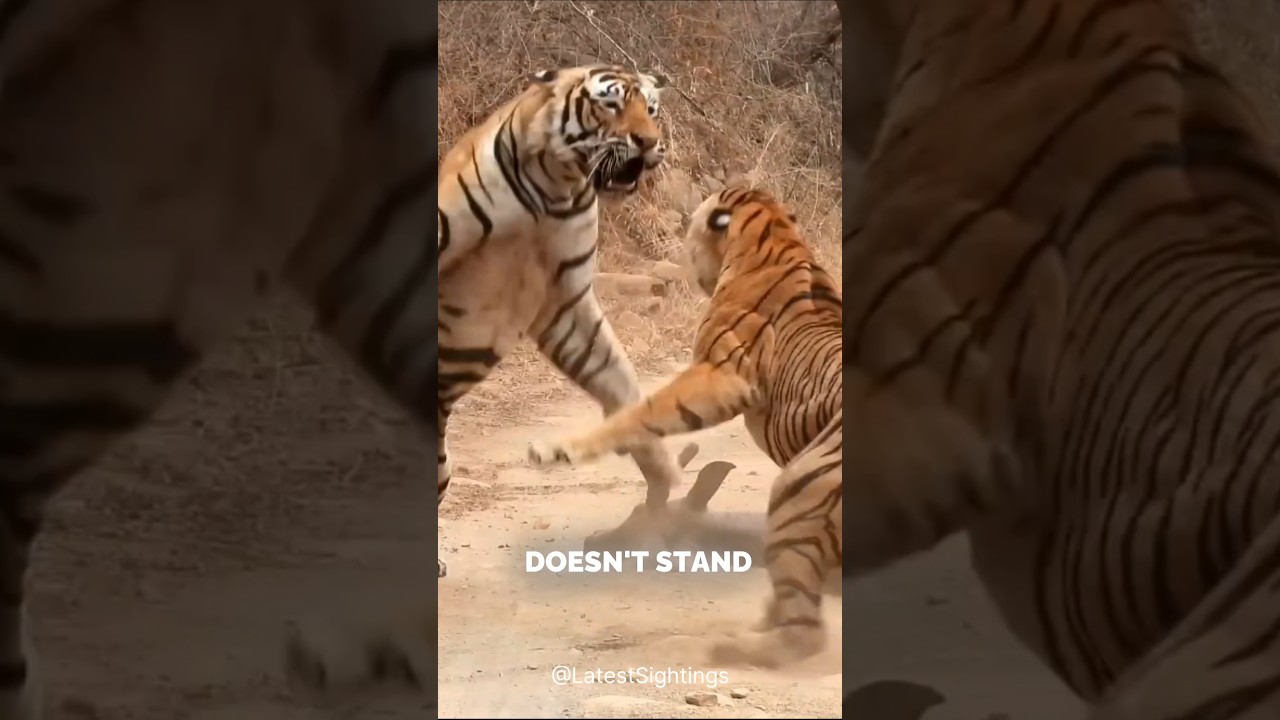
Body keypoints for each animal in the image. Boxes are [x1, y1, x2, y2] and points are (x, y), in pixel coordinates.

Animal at [434, 61, 696, 581]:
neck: (555, 189)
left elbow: (620, 383)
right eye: (611, 104)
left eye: (652, 109)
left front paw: (665, 480)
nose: (649, 142)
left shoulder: (566, 305)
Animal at [528, 186, 844, 668]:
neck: (777, 237)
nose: (593, 543)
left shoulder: (719, 375)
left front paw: (560, 450)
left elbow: (641, 412)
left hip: (800, 488)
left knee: (804, 633)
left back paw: (732, 645)